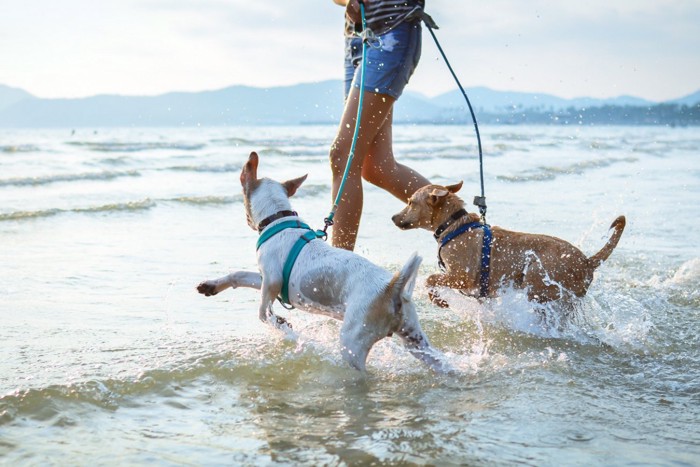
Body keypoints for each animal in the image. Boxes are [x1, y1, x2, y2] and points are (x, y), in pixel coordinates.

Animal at [194, 152, 452, 374]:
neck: (279, 218)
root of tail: (392, 289)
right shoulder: (265, 278)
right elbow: (239, 275)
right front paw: (212, 285)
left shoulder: (272, 281)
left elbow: (263, 312)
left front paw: (282, 325)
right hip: (416, 341)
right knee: (441, 363)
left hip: (353, 342)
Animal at [392, 183, 628, 308]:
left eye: (411, 202)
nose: (393, 217)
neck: (454, 225)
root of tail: (587, 261)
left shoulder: (461, 276)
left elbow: (430, 279)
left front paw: (438, 300)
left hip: (538, 280)